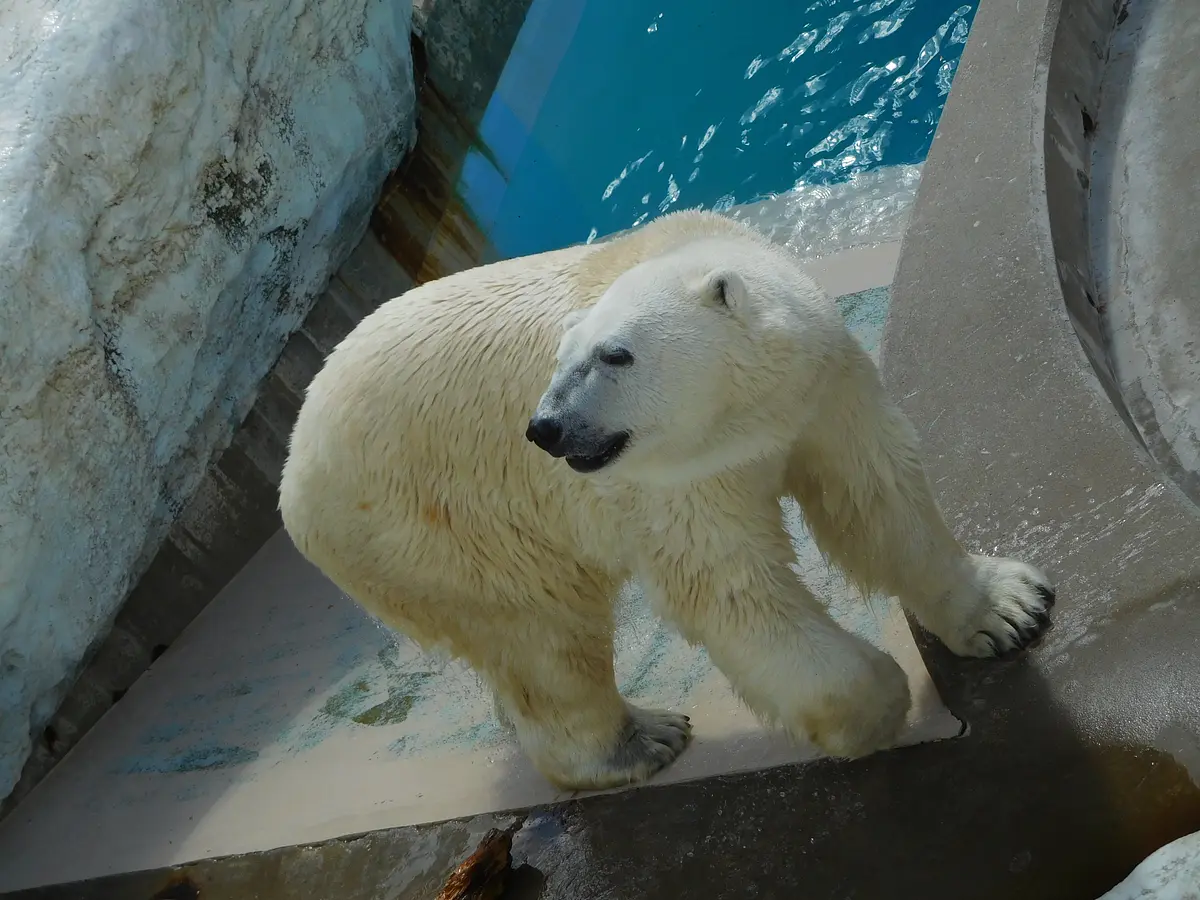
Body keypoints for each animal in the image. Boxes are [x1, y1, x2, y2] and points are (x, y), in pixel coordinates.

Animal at [276, 210, 1056, 787]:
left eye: (614, 355)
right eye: (563, 360)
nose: (545, 427)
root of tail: (293, 469)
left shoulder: (822, 390)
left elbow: (876, 496)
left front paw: (1010, 611)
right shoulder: (673, 478)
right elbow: (731, 587)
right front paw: (877, 703)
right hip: (436, 522)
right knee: (544, 635)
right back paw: (642, 739)